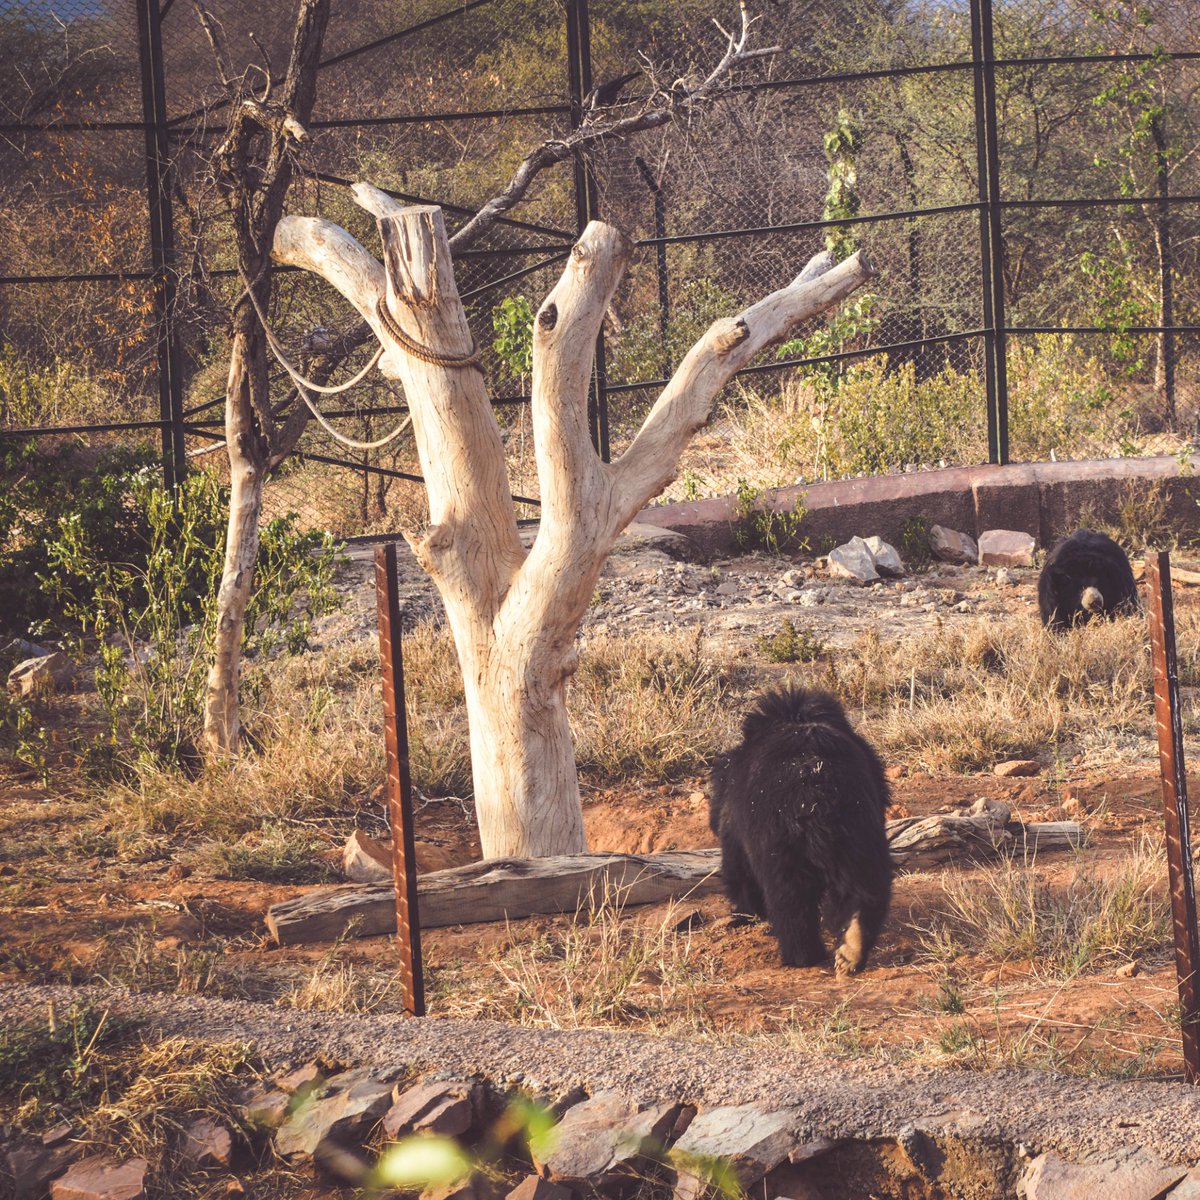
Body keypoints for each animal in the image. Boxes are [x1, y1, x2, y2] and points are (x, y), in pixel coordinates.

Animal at [705, 686, 897, 974]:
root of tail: (816, 797)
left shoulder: (735, 823)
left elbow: (738, 870)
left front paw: (746, 912)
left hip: (779, 843)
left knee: (789, 901)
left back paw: (803, 956)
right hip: (860, 832)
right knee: (868, 884)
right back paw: (851, 950)